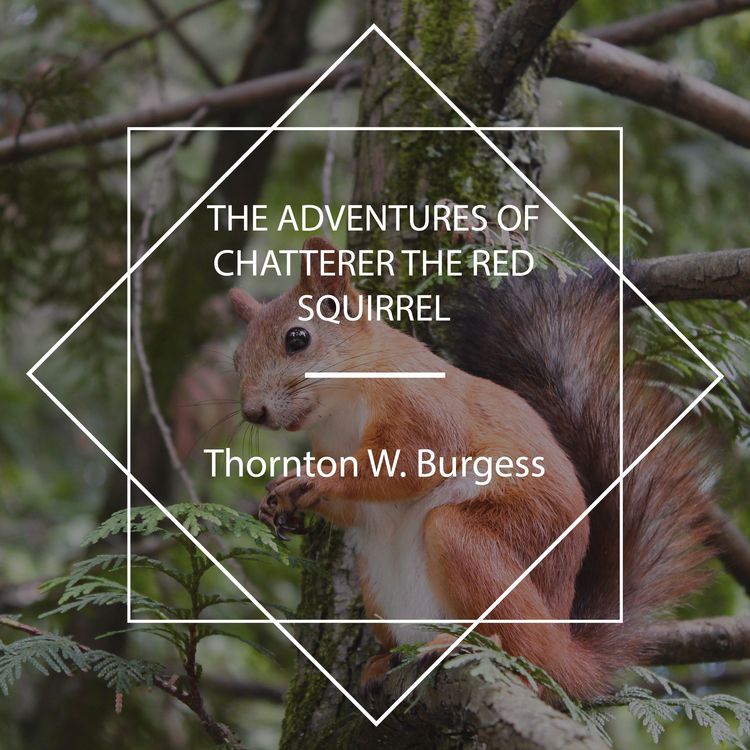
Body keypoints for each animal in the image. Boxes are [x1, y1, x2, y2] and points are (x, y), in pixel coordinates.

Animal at [228, 235, 715, 700]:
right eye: (236, 359)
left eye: (297, 338)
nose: (252, 412)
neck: (340, 408)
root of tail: (568, 653)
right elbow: (356, 508)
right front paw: (278, 503)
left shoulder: (423, 407)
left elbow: (412, 462)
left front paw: (313, 479)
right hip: (377, 581)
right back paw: (383, 661)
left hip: (476, 541)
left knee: (522, 650)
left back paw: (465, 647)